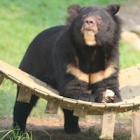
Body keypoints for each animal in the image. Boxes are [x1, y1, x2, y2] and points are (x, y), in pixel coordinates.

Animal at [13, 3, 122, 134]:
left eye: (99, 19)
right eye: (83, 18)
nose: (89, 22)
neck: (91, 49)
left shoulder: (107, 63)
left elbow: (108, 85)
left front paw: (108, 97)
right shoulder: (69, 60)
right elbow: (73, 87)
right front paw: (94, 97)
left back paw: (73, 128)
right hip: (31, 68)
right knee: (24, 103)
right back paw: (19, 130)